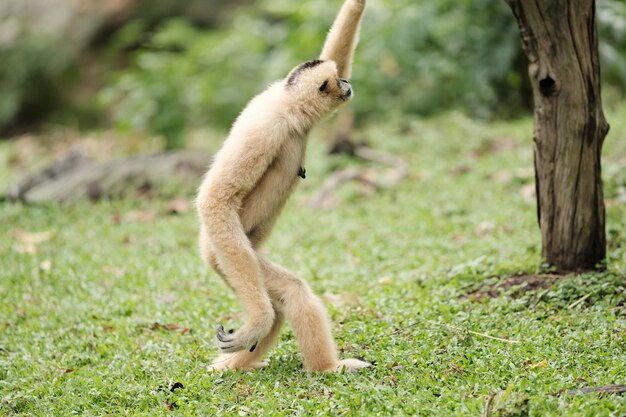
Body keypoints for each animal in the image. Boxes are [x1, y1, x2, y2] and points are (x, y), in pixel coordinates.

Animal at [195, 0, 368, 370]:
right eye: (336, 79)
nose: (346, 81)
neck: (289, 108)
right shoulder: (266, 129)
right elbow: (217, 198)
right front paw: (256, 321)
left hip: (245, 254)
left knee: (284, 300)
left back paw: (239, 367)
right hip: (225, 253)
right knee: (291, 292)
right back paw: (327, 368)